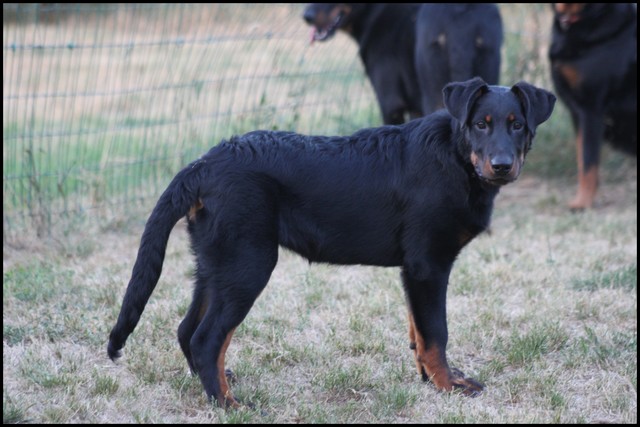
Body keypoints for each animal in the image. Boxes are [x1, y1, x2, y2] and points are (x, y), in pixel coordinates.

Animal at [108, 77, 555, 408]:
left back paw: (217, 385)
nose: (501, 165)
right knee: (206, 339)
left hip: (215, 265)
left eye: (517, 124)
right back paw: (228, 405)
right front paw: (449, 386)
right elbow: (435, 334)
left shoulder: (414, 271)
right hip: (248, 265)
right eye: (481, 124)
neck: (456, 159)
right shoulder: (428, 265)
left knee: (188, 329)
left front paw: (430, 380)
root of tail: (203, 165)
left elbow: (418, 333)